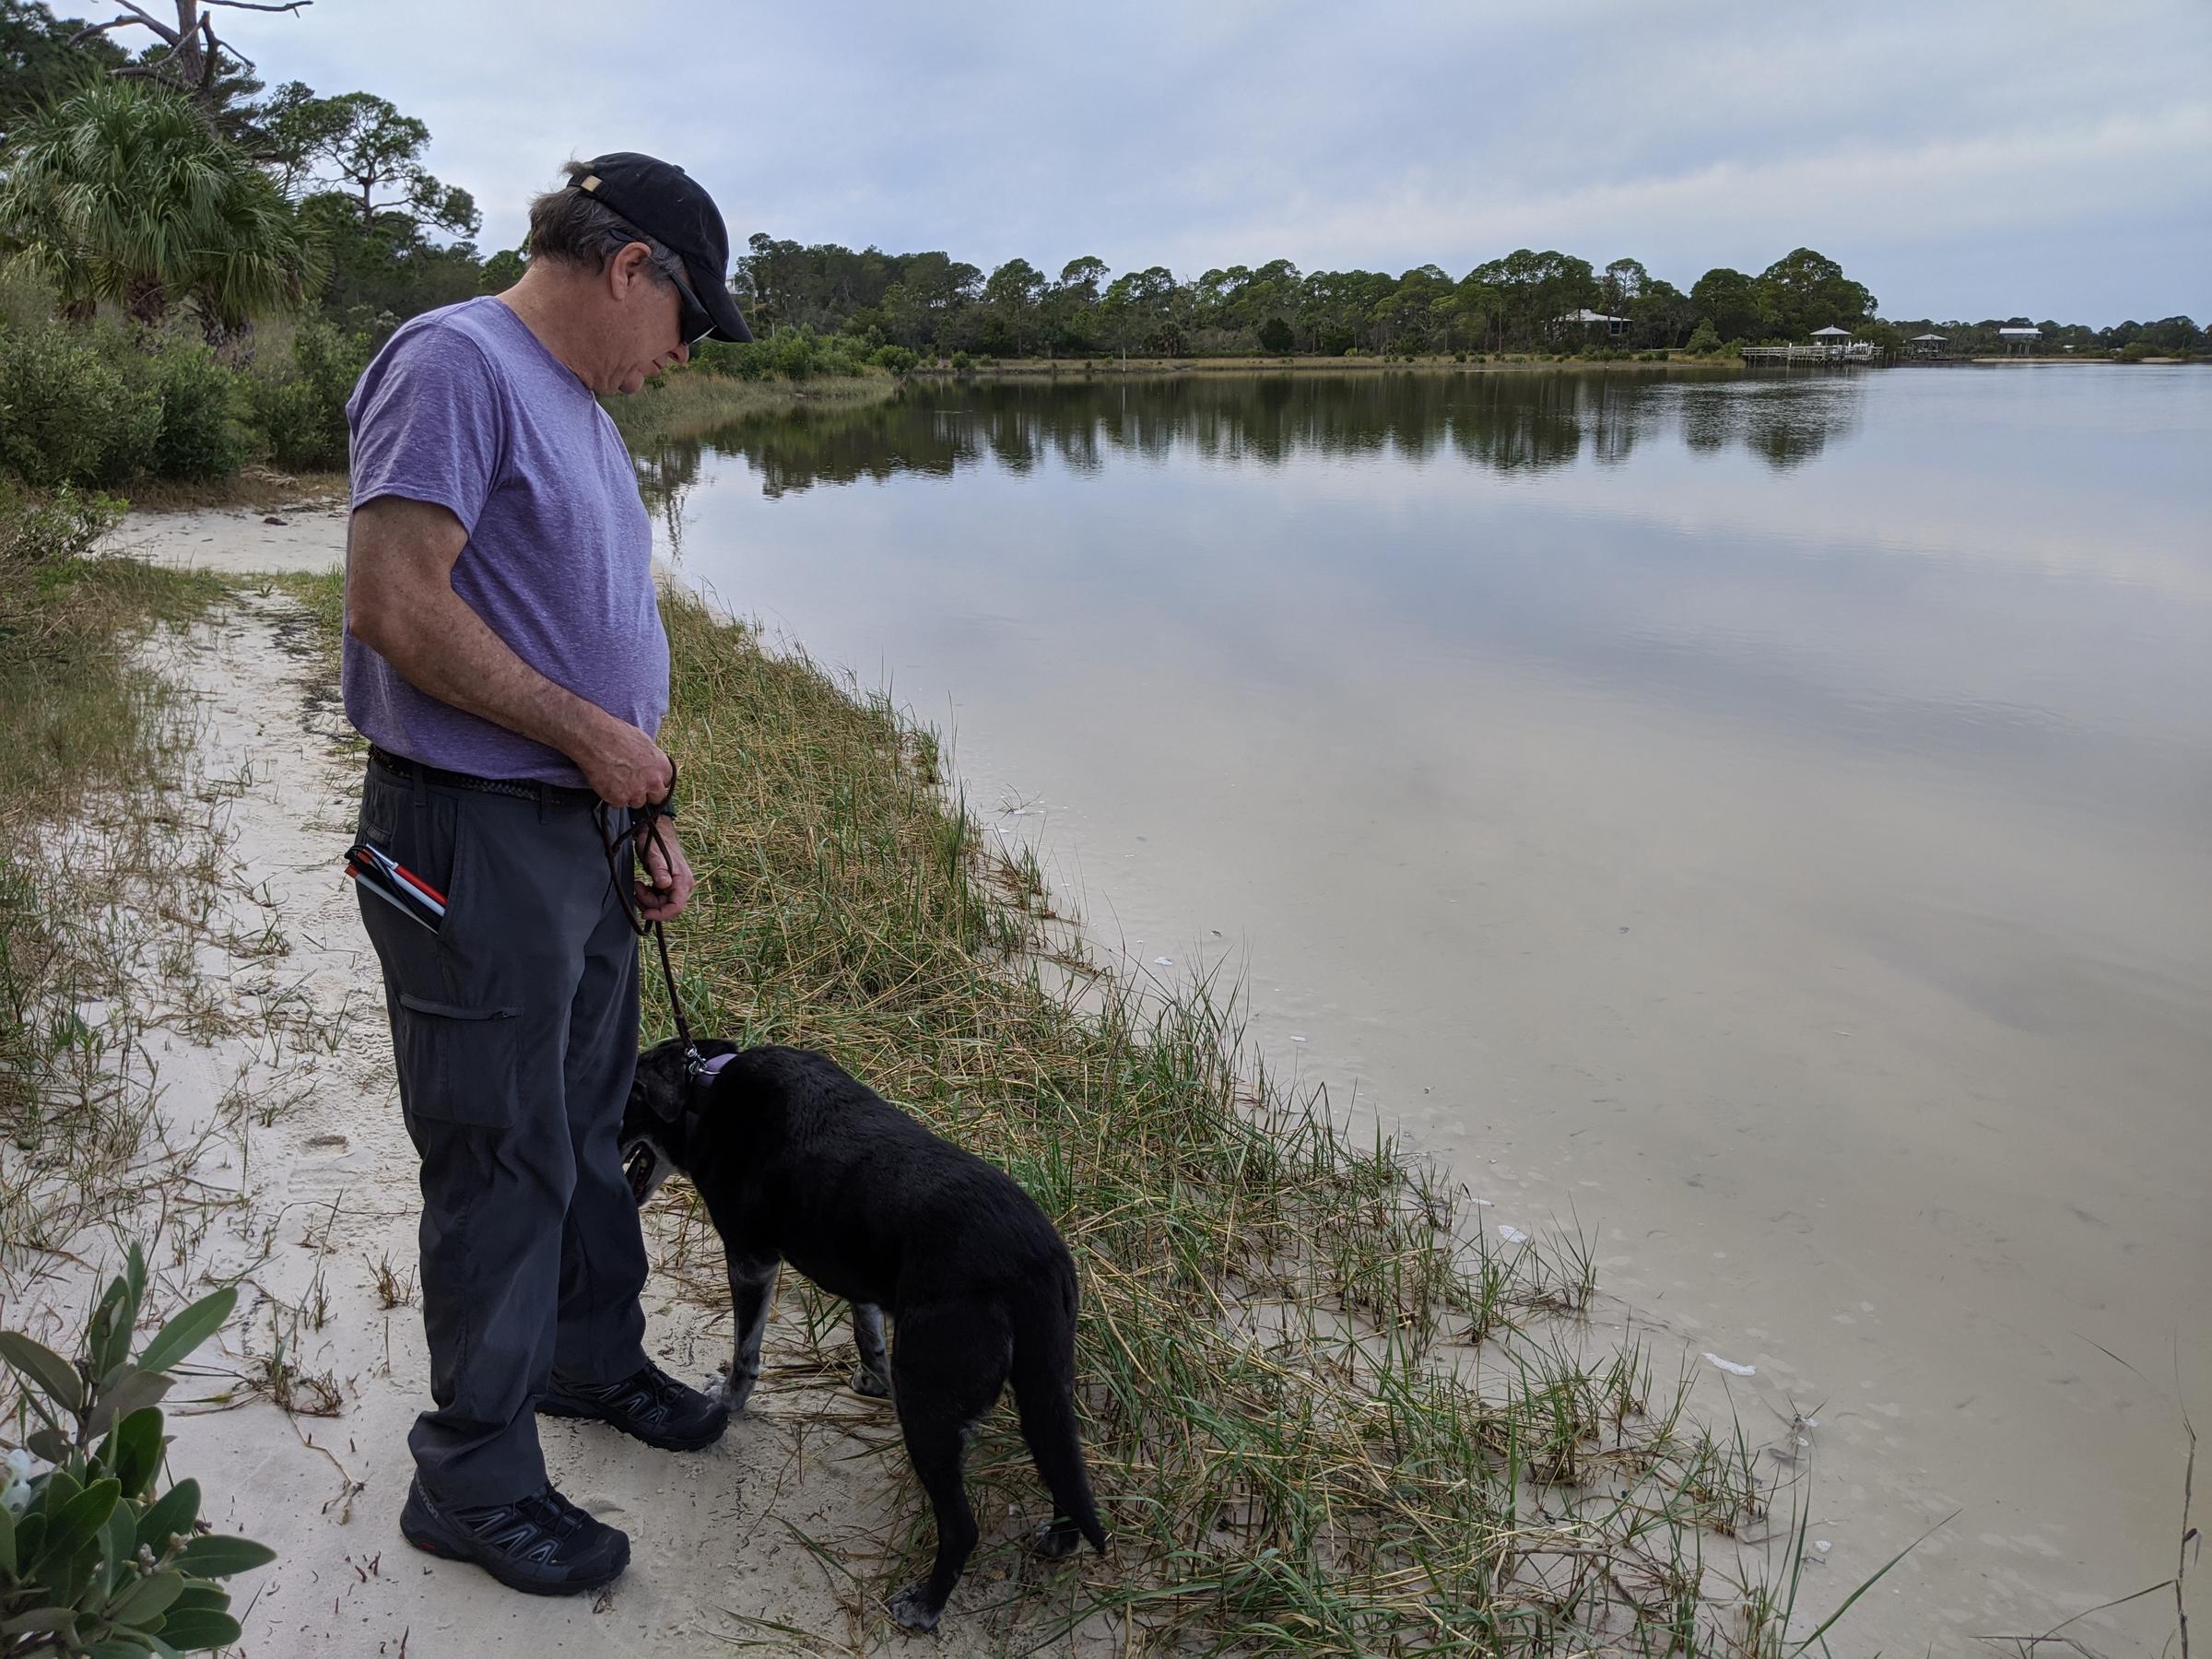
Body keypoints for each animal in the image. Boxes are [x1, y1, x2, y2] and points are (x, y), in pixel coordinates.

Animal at [619, 1040, 1106, 1637]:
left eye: (624, 1104)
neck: (703, 1085)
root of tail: (1034, 1264)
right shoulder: (857, 1274)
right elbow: (866, 1329)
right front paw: (873, 1379)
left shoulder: (751, 1260)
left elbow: (745, 1354)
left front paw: (729, 1401)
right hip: (1044, 1386)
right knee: (1062, 1464)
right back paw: (1060, 1539)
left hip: (929, 1404)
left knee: (962, 1526)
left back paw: (926, 1606)